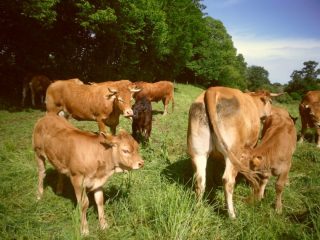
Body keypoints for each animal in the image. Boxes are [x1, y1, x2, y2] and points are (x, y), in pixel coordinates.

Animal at [186, 87, 274, 218]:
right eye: (271, 102)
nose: (271, 113)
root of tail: (212, 90)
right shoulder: (250, 148)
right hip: (233, 152)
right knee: (228, 181)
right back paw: (231, 214)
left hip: (198, 152)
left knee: (200, 180)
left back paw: (197, 208)